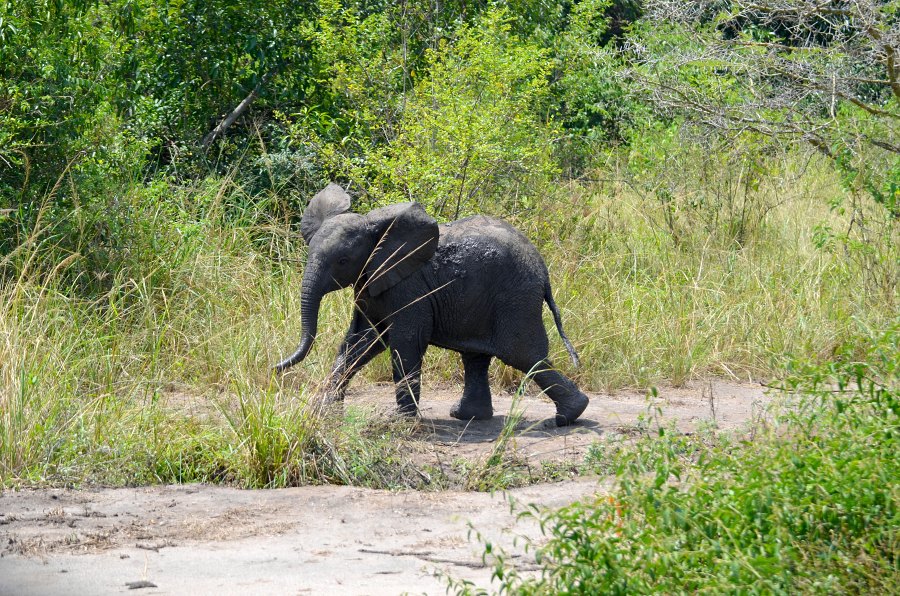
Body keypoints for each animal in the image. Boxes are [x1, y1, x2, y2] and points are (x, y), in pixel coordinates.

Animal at [274, 184, 592, 426]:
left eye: (342, 261)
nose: (275, 367)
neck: (375, 231)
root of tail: (542, 268)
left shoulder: (408, 286)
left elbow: (405, 340)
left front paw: (401, 422)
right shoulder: (370, 282)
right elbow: (360, 341)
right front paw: (324, 412)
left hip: (515, 298)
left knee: (524, 356)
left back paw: (568, 416)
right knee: (476, 356)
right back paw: (467, 416)